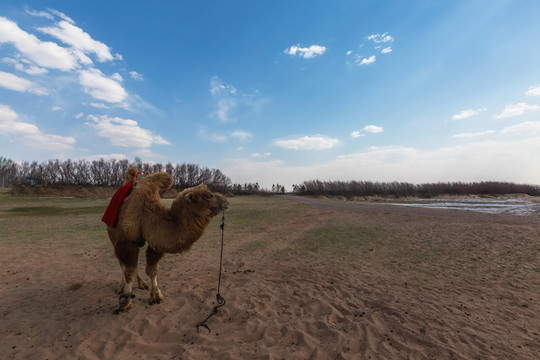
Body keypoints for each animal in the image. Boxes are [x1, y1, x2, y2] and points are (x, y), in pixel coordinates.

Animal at [106, 168, 230, 312]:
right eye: (208, 195)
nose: (227, 202)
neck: (146, 214)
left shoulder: (156, 243)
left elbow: (152, 270)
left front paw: (156, 295)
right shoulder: (125, 242)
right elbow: (129, 272)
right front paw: (125, 301)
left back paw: (142, 284)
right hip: (113, 237)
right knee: (123, 264)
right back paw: (122, 287)